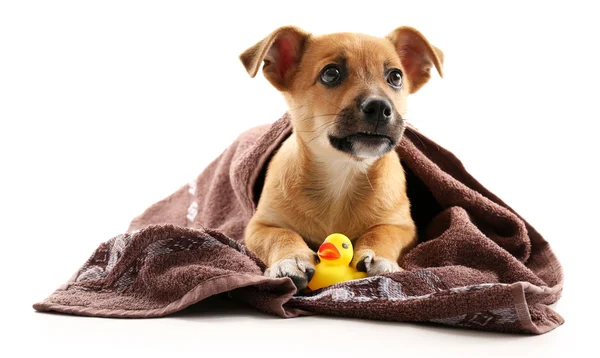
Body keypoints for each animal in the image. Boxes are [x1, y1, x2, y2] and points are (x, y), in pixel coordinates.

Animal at [241, 25, 442, 290]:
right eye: (331, 73)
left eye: (396, 77)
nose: (379, 108)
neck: (342, 172)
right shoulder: (258, 226)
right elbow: (280, 234)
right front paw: (290, 259)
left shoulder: (402, 226)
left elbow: (382, 232)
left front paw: (379, 257)